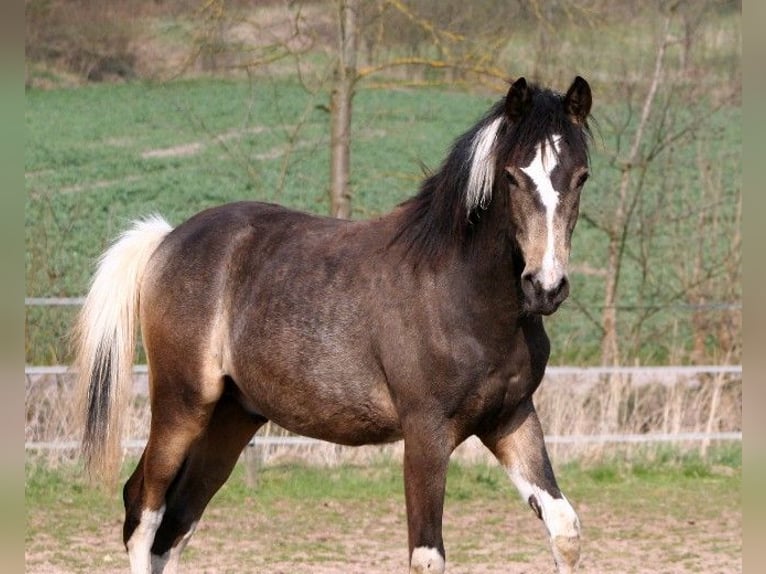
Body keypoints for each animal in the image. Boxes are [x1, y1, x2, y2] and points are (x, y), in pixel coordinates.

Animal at [73, 76, 592, 574]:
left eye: (581, 177)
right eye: (513, 177)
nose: (545, 286)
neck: (461, 293)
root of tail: (166, 241)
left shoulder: (511, 418)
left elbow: (564, 529)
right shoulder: (426, 432)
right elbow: (427, 557)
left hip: (230, 419)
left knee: (176, 526)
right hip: (182, 406)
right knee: (143, 511)